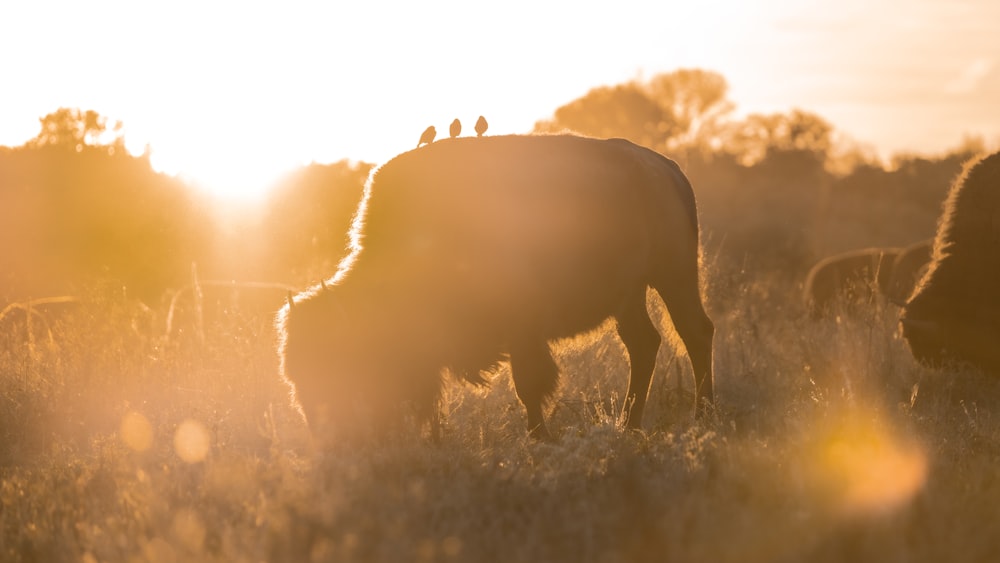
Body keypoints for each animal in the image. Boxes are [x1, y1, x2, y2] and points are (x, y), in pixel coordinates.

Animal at [278, 135, 716, 440]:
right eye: (296, 375)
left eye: (340, 360)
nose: (324, 431)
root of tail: (666, 168)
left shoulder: (523, 332)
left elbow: (528, 385)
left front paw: (541, 439)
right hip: (631, 294)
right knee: (643, 344)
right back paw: (629, 426)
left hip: (673, 275)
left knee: (695, 333)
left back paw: (703, 417)